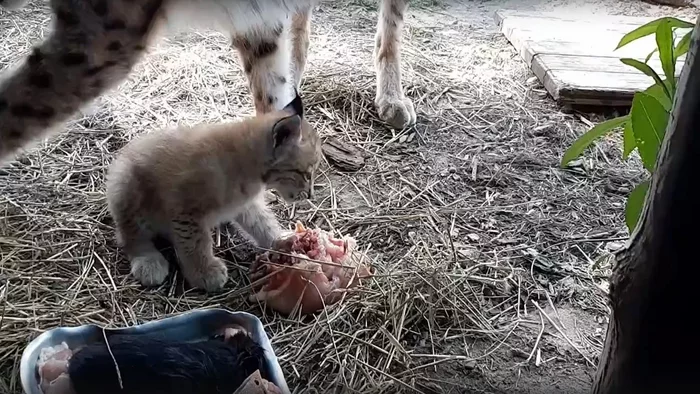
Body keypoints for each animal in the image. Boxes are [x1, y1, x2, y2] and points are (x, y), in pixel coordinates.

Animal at [106, 91, 320, 290]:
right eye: (306, 174)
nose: (310, 195)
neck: (251, 168)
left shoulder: (245, 204)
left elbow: (262, 221)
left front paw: (281, 240)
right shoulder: (186, 208)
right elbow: (196, 242)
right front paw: (204, 273)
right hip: (125, 184)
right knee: (130, 234)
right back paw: (148, 261)